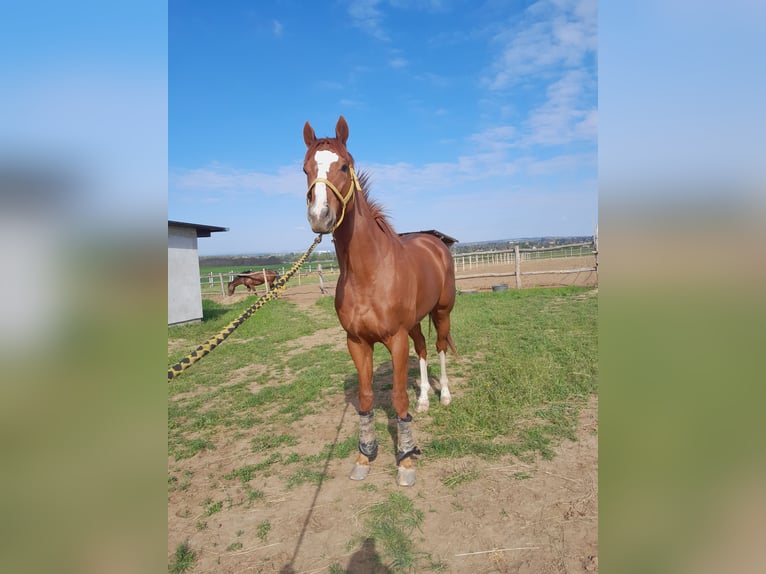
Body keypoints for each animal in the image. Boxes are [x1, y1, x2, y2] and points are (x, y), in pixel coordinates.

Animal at [302, 117, 460, 490]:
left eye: (344, 166)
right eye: (305, 169)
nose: (319, 216)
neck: (368, 272)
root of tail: (435, 243)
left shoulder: (395, 338)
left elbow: (398, 397)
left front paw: (406, 460)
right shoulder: (357, 342)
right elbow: (366, 398)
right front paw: (365, 456)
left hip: (441, 312)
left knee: (440, 347)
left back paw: (444, 396)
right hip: (416, 322)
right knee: (423, 349)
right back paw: (425, 400)